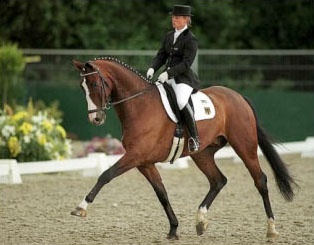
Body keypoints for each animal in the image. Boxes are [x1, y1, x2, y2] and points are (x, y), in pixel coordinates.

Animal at [70, 57, 296, 239]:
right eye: (82, 88)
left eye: (94, 83)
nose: (95, 119)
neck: (139, 105)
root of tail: (239, 97)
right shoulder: (144, 162)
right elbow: (161, 193)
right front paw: (173, 229)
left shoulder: (135, 156)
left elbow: (105, 175)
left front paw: (81, 207)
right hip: (202, 153)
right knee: (218, 180)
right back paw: (201, 221)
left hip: (244, 146)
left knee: (260, 181)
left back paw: (271, 229)